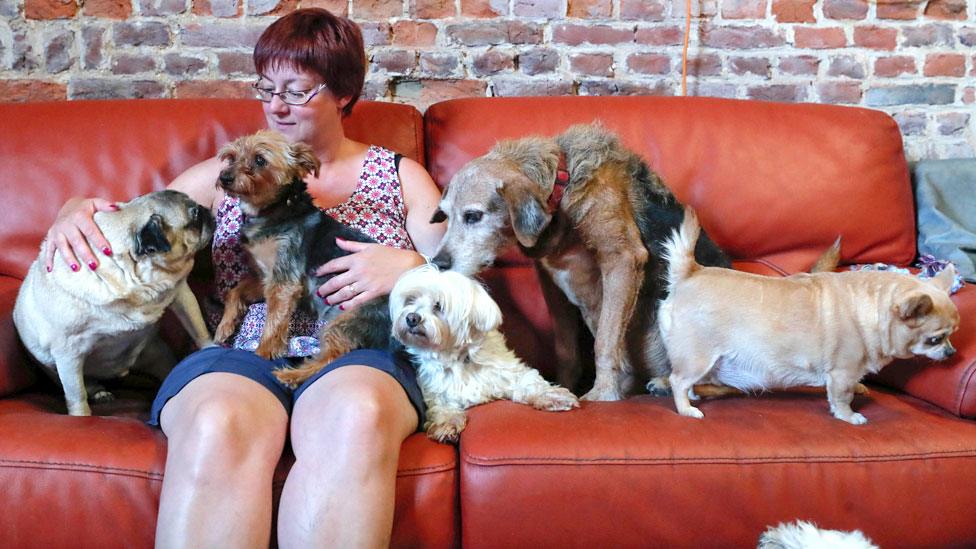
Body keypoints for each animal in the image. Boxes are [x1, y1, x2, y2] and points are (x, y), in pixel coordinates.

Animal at [390, 266, 580, 440]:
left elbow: (530, 382)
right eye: (410, 300)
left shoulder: (508, 373)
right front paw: (447, 423)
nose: (411, 318)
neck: (458, 358)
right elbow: (441, 406)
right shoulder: (436, 392)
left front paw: (553, 396)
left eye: (439, 306)